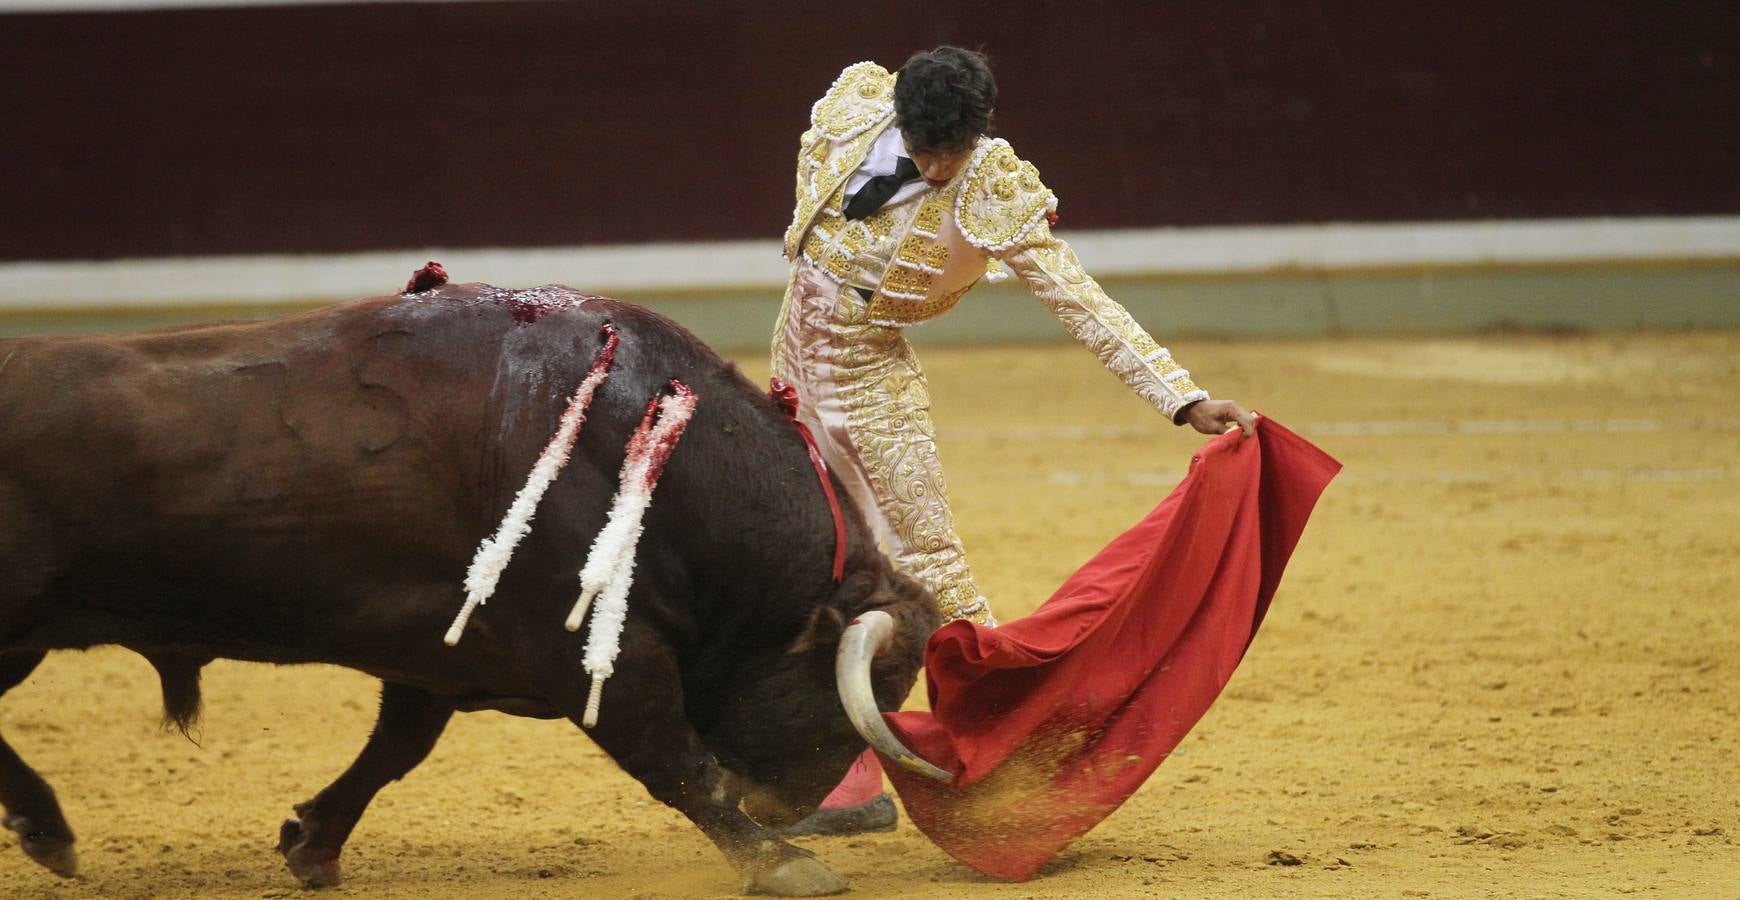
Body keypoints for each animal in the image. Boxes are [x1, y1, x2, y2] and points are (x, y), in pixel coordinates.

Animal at [0, 283, 939, 891]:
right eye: (877, 685)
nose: (786, 808)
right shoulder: (592, 648)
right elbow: (675, 761)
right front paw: (784, 863)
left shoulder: (439, 654)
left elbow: (395, 750)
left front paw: (312, 843)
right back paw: (48, 831)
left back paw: (46, 832)